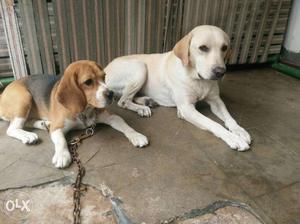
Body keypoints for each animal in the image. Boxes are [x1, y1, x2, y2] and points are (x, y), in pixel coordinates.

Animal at [0, 60, 149, 168]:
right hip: (23, 98)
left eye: (104, 77)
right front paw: (62, 155)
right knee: (12, 128)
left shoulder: (112, 117)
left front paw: (136, 135)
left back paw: (43, 124)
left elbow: (125, 126)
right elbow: (61, 141)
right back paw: (28, 135)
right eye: (88, 82)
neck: (84, 111)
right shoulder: (57, 128)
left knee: (27, 121)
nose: (111, 94)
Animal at [105, 25, 251, 151]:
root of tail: (105, 68)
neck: (198, 79)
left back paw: (146, 101)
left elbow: (230, 118)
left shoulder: (216, 101)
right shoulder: (187, 107)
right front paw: (233, 138)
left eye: (224, 48)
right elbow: (213, 123)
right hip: (140, 67)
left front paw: (239, 130)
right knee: (123, 101)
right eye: (203, 48)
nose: (220, 72)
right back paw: (142, 108)